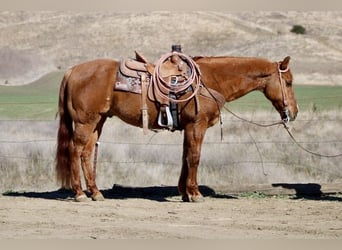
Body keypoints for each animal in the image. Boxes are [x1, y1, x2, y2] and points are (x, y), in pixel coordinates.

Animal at [54, 53, 298, 202]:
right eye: (288, 82)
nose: (293, 113)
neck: (210, 80)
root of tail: (72, 70)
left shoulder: (188, 128)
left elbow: (185, 156)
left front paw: (184, 192)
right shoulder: (197, 125)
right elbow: (195, 157)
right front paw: (195, 193)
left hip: (98, 121)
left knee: (86, 153)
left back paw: (95, 193)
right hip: (86, 122)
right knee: (75, 151)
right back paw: (79, 193)